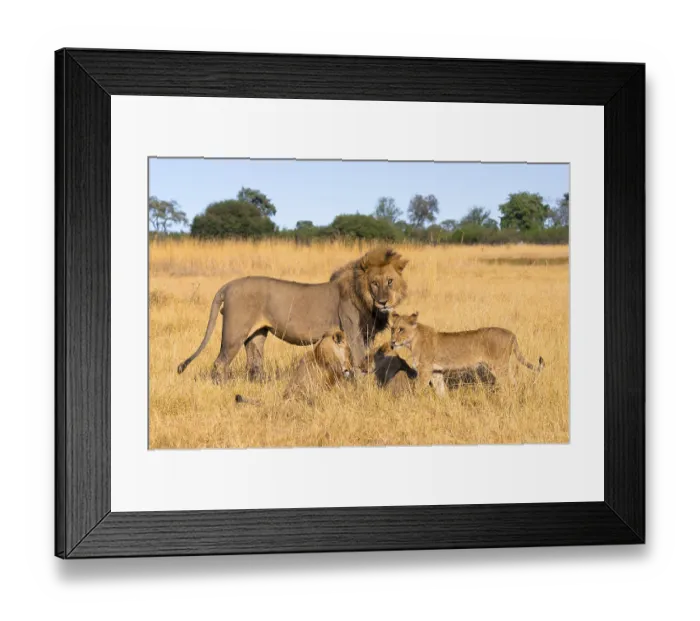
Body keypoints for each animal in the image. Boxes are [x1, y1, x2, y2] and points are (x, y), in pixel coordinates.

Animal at [177, 247, 409, 382]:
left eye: (390, 281)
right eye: (374, 283)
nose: (383, 301)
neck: (366, 300)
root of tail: (228, 285)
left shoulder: (366, 335)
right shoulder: (353, 333)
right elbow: (361, 363)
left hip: (257, 335)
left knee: (254, 363)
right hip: (234, 335)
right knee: (220, 363)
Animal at [389, 311, 544, 396]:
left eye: (401, 329)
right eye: (392, 329)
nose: (392, 342)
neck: (412, 341)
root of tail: (511, 334)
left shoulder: (425, 371)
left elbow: (417, 390)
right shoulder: (436, 371)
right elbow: (441, 391)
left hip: (499, 367)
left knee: (509, 384)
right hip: (504, 367)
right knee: (514, 383)